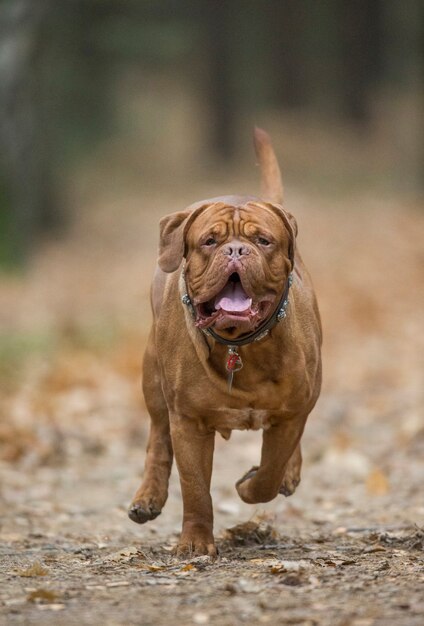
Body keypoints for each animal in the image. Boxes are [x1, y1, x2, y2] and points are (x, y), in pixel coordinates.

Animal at [128, 128, 322, 556]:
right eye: (209, 241)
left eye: (263, 240)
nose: (235, 249)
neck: (242, 345)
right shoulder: (188, 421)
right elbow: (195, 488)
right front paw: (195, 543)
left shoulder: (292, 410)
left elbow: (270, 469)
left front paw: (253, 484)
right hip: (153, 378)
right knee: (157, 439)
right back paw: (147, 497)